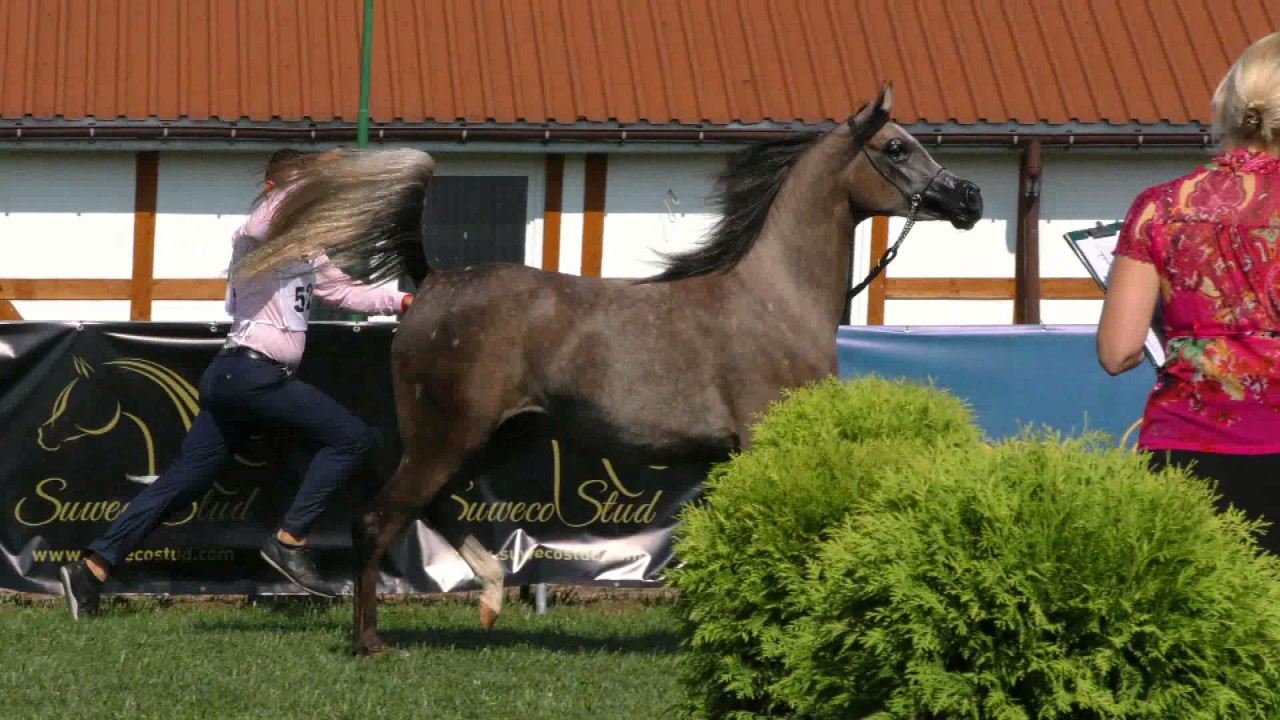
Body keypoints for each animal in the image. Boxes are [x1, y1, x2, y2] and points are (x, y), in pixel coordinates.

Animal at [232, 84, 984, 656]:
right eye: (897, 148)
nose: (969, 199)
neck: (774, 300)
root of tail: (434, 281)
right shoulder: (764, 441)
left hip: (495, 435)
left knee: (435, 506)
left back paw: (492, 593)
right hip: (447, 435)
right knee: (379, 519)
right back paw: (371, 642)